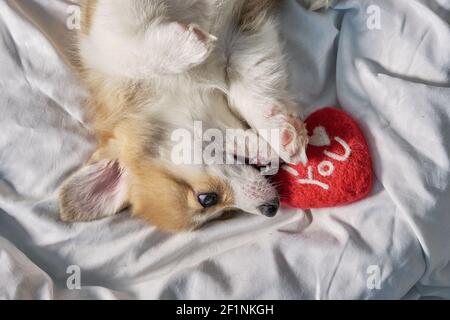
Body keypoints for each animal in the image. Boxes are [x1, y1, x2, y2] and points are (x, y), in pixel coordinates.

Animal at [59, 0, 326, 231]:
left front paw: (188, 45)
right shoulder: (245, 40)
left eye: (206, 198)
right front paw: (283, 133)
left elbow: (128, 51)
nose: (271, 209)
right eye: (217, 207)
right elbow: (251, 86)